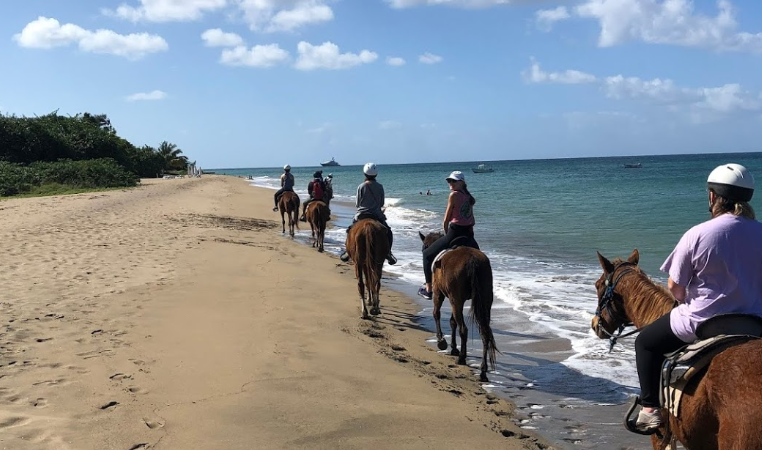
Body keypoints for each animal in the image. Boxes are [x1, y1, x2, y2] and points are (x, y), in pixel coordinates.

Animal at [418, 232, 496, 384]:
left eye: (424, 247)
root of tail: (472, 260)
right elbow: (452, 321)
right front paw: (453, 348)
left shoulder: (440, 293)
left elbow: (437, 314)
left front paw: (442, 342)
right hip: (484, 301)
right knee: (485, 333)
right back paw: (483, 372)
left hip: (455, 299)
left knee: (463, 329)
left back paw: (462, 358)